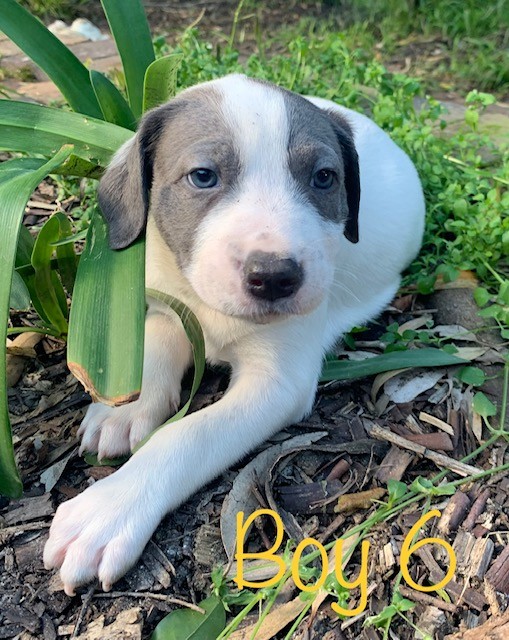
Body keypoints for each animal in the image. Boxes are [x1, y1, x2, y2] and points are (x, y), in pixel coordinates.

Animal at [43, 74, 424, 596]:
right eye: (203, 176)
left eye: (324, 178)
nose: (276, 277)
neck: (214, 314)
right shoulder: (170, 306)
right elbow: (155, 344)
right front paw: (126, 408)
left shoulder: (276, 384)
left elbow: (187, 435)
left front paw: (109, 508)